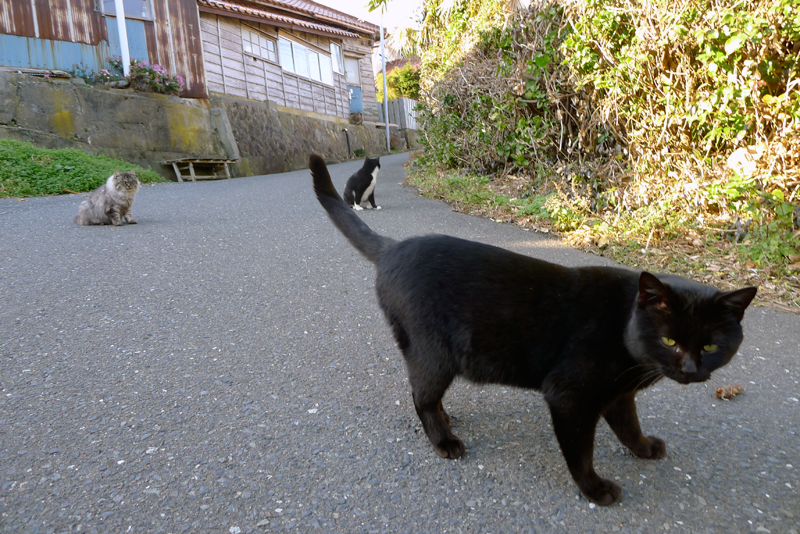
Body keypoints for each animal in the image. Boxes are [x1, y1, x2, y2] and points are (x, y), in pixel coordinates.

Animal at [310, 155, 760, 506]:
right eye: (669, 340)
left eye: (711, 346)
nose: (691, 370)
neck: (627, 336)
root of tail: (393, 247)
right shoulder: (570, 396)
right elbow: (580, 452)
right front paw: (595, 490)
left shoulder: (618, 395)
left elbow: (629, 427)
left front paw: (645, 448)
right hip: (433, 353)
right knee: (421, 398)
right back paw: (445, 442)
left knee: (427, 396)